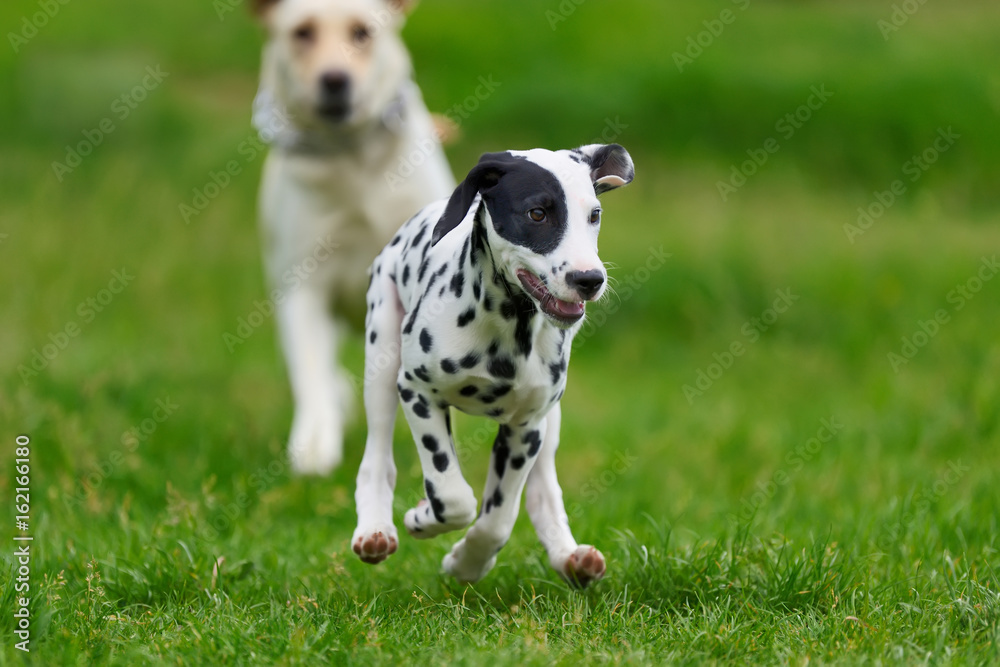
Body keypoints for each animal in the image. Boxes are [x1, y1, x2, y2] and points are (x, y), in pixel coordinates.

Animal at [252, 0, 456, 474]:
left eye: (362, 32)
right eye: (302, 32)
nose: (334, 79)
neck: (352, 156)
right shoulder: (302, 284)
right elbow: (310, 371)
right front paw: (314, 445)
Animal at [352, 144, 632, 588]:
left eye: (594, 215)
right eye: (537, 213)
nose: (589, 279)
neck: (507, 326)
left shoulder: (525, 429)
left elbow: (498, 518)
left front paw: (467, 562)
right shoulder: (418, 391)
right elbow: (452, 496)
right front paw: (423, 518)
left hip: (550, 420)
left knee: (543, 491)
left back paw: (570, 557)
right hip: (381, 361)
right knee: (376, 459)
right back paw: (375, 530)